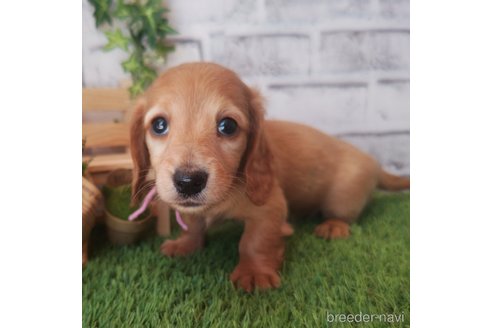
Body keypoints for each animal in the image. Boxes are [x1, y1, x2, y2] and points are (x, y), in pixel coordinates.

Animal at [129, 62, 410, 292]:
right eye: (159, 125)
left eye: (228, 126)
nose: (189, 181)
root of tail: (373, 163)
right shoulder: (192, 209)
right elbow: (194, 224)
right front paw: (185, 245)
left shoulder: (270, 207)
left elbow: (254, 241)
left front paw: (254, 273)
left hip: (341, 199)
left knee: (342, 215)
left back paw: (333, 226)